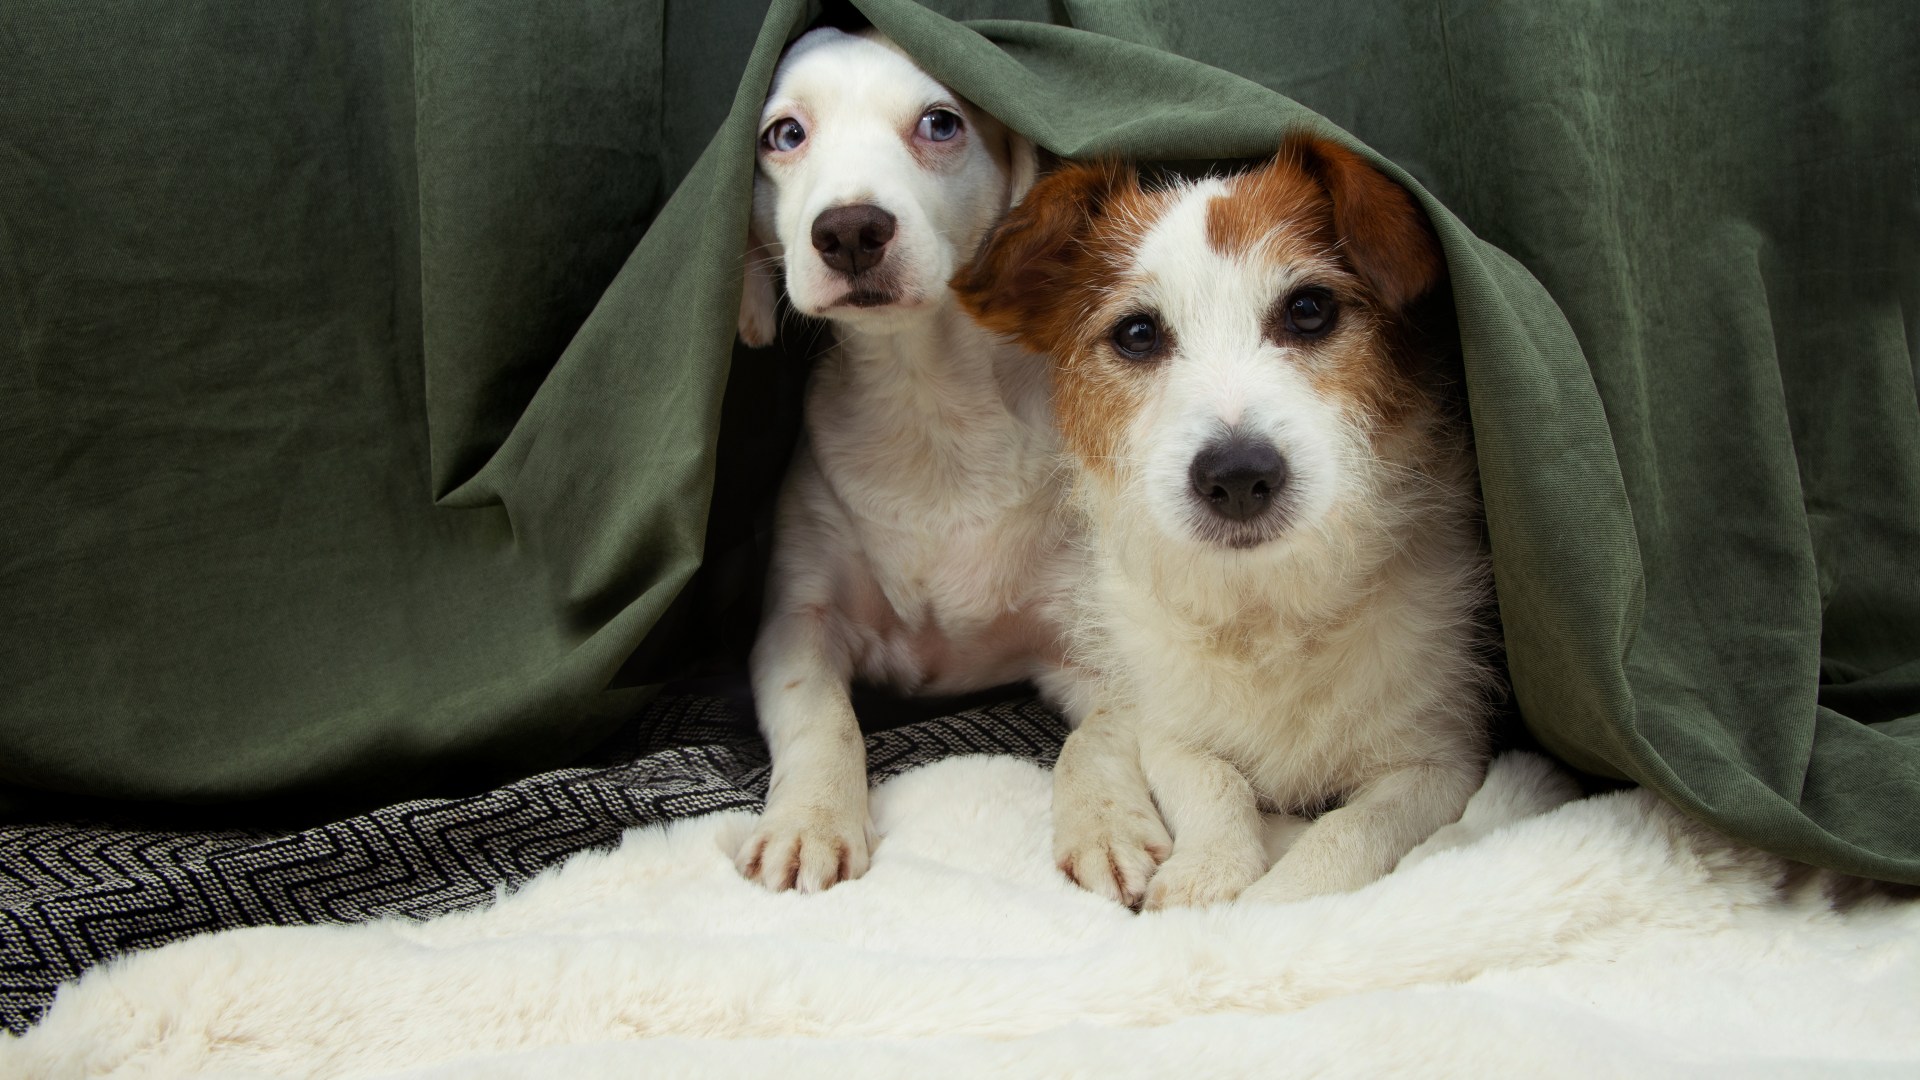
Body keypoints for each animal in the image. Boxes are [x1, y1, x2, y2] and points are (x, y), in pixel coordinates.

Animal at [725, 29, 1159, 895]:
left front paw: (1107, 824)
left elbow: (1099, 736)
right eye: (784, 134)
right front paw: (808, 822)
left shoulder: (1099, 641)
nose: (850, 229)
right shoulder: (797, 624)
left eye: (940, 123)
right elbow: (823, 720)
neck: (929, 411)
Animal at [960, 136, 1497, 907]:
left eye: (1309, 309)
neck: (1264, 608)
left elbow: (1350, 830)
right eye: (1137, 332)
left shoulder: (1440, 762)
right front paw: (1208, 872)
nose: (1238, 476)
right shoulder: (1171, 730)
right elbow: (1214, 781)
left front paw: (1275, 904)